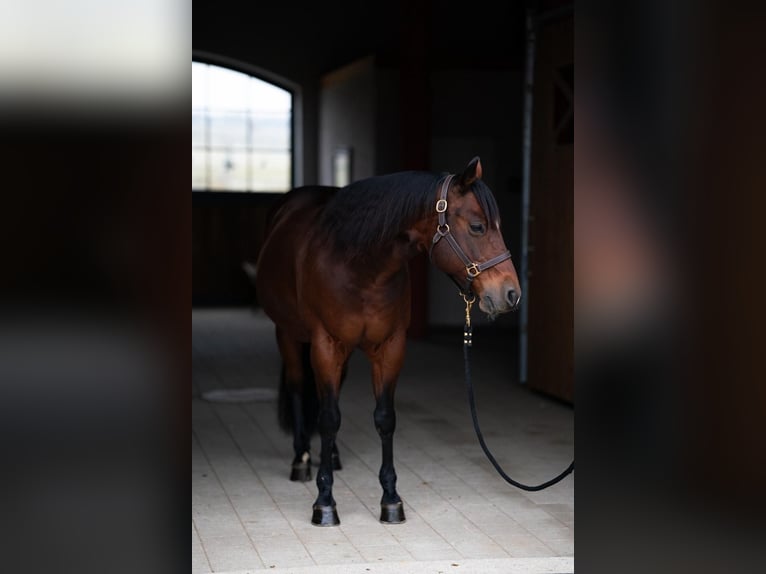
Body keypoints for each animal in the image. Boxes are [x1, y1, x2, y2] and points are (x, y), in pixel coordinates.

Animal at [254, 157, 521, 526]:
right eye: (478, 226)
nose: (511, 294)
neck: (360, 267)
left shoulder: (390, 347)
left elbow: (384, 418)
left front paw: (391, 499)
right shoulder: (326, 345)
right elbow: (328, 418)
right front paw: (324, 503)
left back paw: (331, 456)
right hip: (289, 334)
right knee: (297, 388)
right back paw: (302, 460)